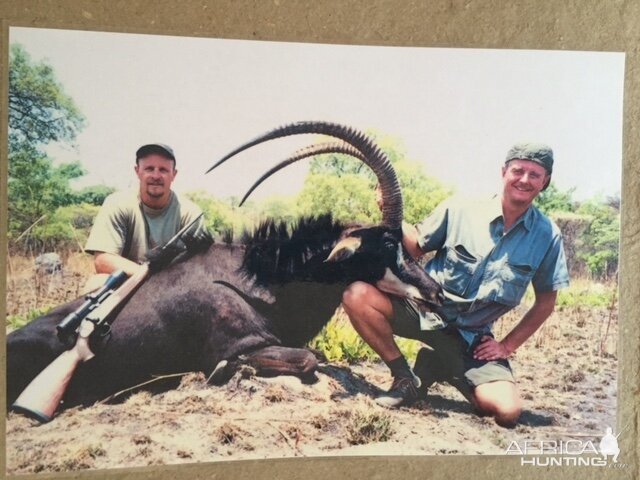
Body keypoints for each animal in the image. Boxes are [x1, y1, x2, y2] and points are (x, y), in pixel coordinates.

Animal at [5, 121, 444, 416]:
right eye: (387, 243)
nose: (436, 292)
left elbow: (312, 355)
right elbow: (306, 358)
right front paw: (226, 372)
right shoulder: (239, 345)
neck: (256, 280)